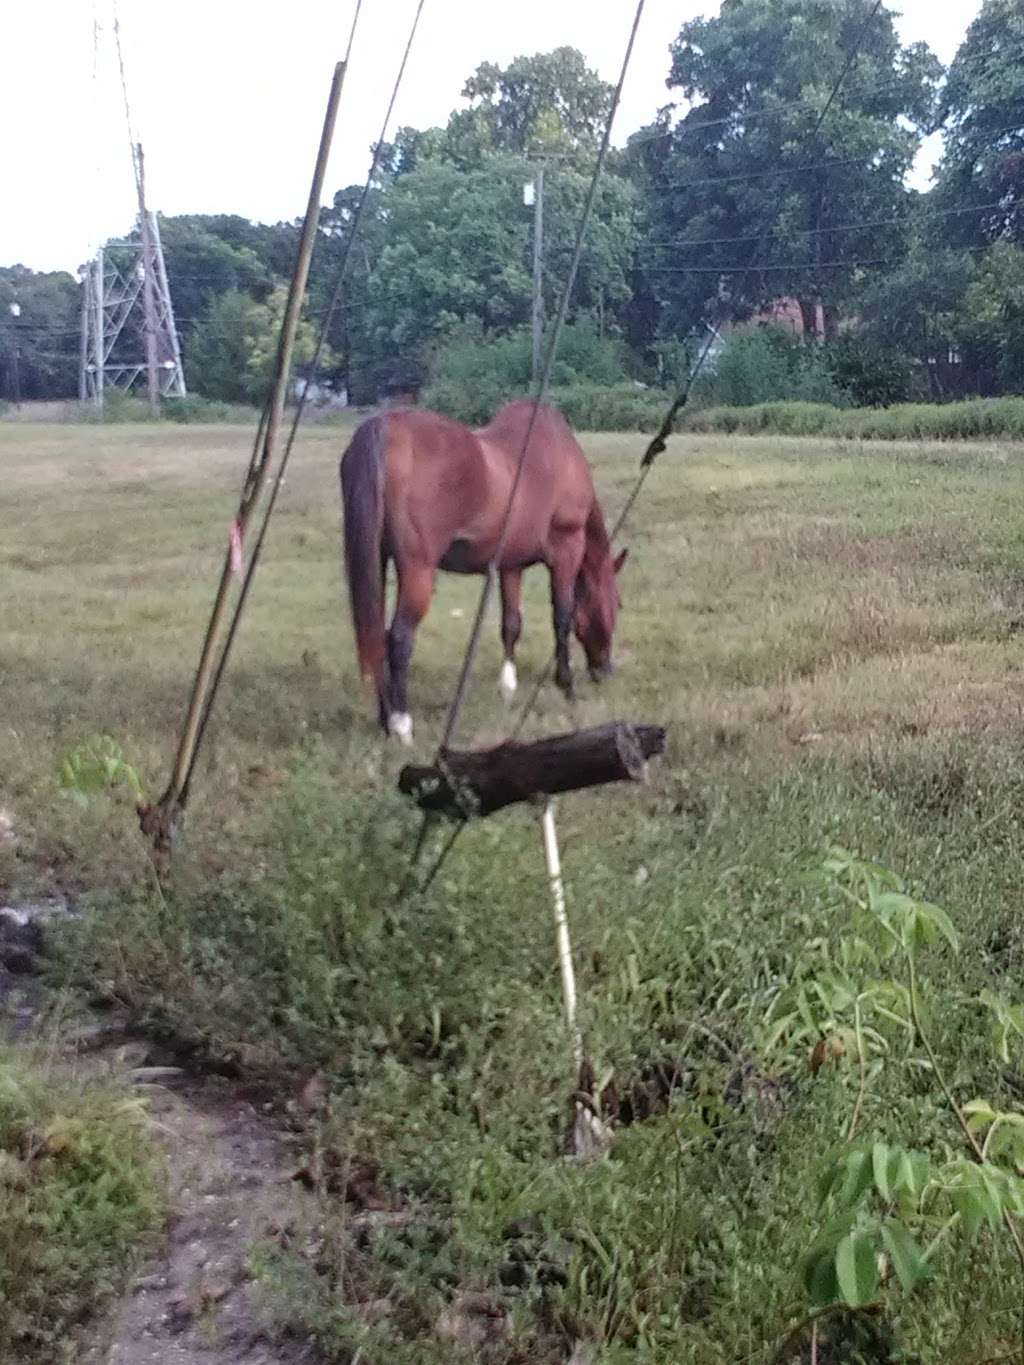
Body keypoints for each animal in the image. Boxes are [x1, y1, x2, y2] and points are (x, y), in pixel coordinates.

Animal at [341, 398, 625, 742]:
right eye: (616, 604)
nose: (605, 670)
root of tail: (384, 427)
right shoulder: (567, 550)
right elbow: (563, 617)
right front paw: (566, 686)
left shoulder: (510, 565)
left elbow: (511, 624)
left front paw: (508, 688)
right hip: (418, 569)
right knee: (399, 638)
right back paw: (403, 725)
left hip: (378, 559)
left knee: (376, 635)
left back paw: (386, 721)